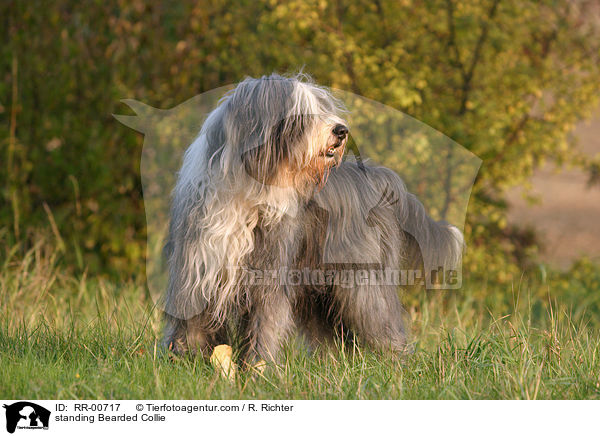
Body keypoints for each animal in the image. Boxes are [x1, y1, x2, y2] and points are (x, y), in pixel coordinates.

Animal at [162, 73, 462, 362]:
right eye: (301, 114)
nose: (341, 131)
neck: (248, 192)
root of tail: (379, 178)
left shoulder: (270, 271)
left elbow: (265, 322)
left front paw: (258, 367)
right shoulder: (197, 266)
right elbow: (191, 321)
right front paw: (182, 360)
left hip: (363, 281)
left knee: (381, 320)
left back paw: (396, 362)